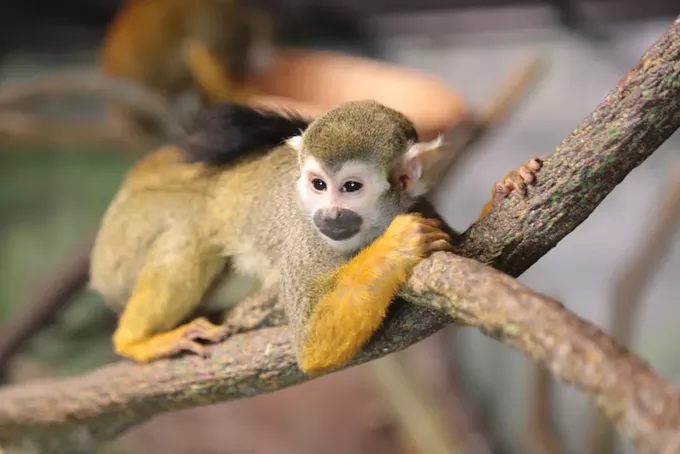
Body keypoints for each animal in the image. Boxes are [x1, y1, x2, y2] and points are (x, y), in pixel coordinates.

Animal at [89, 100, 543, 375]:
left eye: (351, 188)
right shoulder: (306, 239)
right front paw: (394, 248)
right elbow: (312, 346)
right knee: (190, 232)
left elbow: (470, 294)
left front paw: (506, 186)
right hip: (126, 238)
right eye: (318, 185)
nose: (329, 215)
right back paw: (135, 341)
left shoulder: (420, 204)